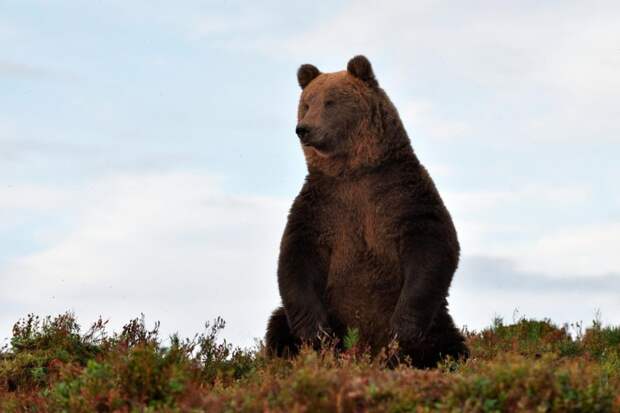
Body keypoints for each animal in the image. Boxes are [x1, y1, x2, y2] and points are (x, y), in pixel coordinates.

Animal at [264, 54, 468, 366]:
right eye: (307, 103)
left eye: (330, 102)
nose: (304, 129)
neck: (353, 171)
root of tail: (364, 353)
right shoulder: (321, 207)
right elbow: (296, 257)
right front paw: (319, 334)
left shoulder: (401, 195)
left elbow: (432, 245)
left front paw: (401, 331)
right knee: (277, 323)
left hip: (439, 321)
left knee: (448, 341)